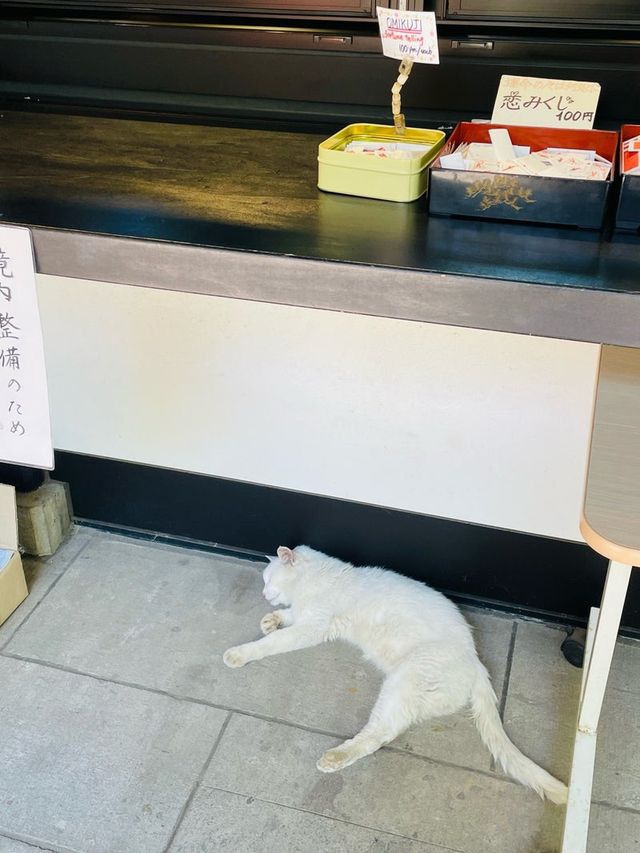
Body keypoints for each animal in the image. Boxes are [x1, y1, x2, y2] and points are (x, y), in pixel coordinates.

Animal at [222, 544, 568, 804]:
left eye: (269, 579)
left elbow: (274, 642)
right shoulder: (304, 616)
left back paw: (334, 757)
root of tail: (477, 664)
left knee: (379, 733)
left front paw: (240, 653)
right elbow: (287, 617)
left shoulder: (313, 626)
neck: (319, 579)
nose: (264, 594)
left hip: (404, 682)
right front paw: (272, 618)